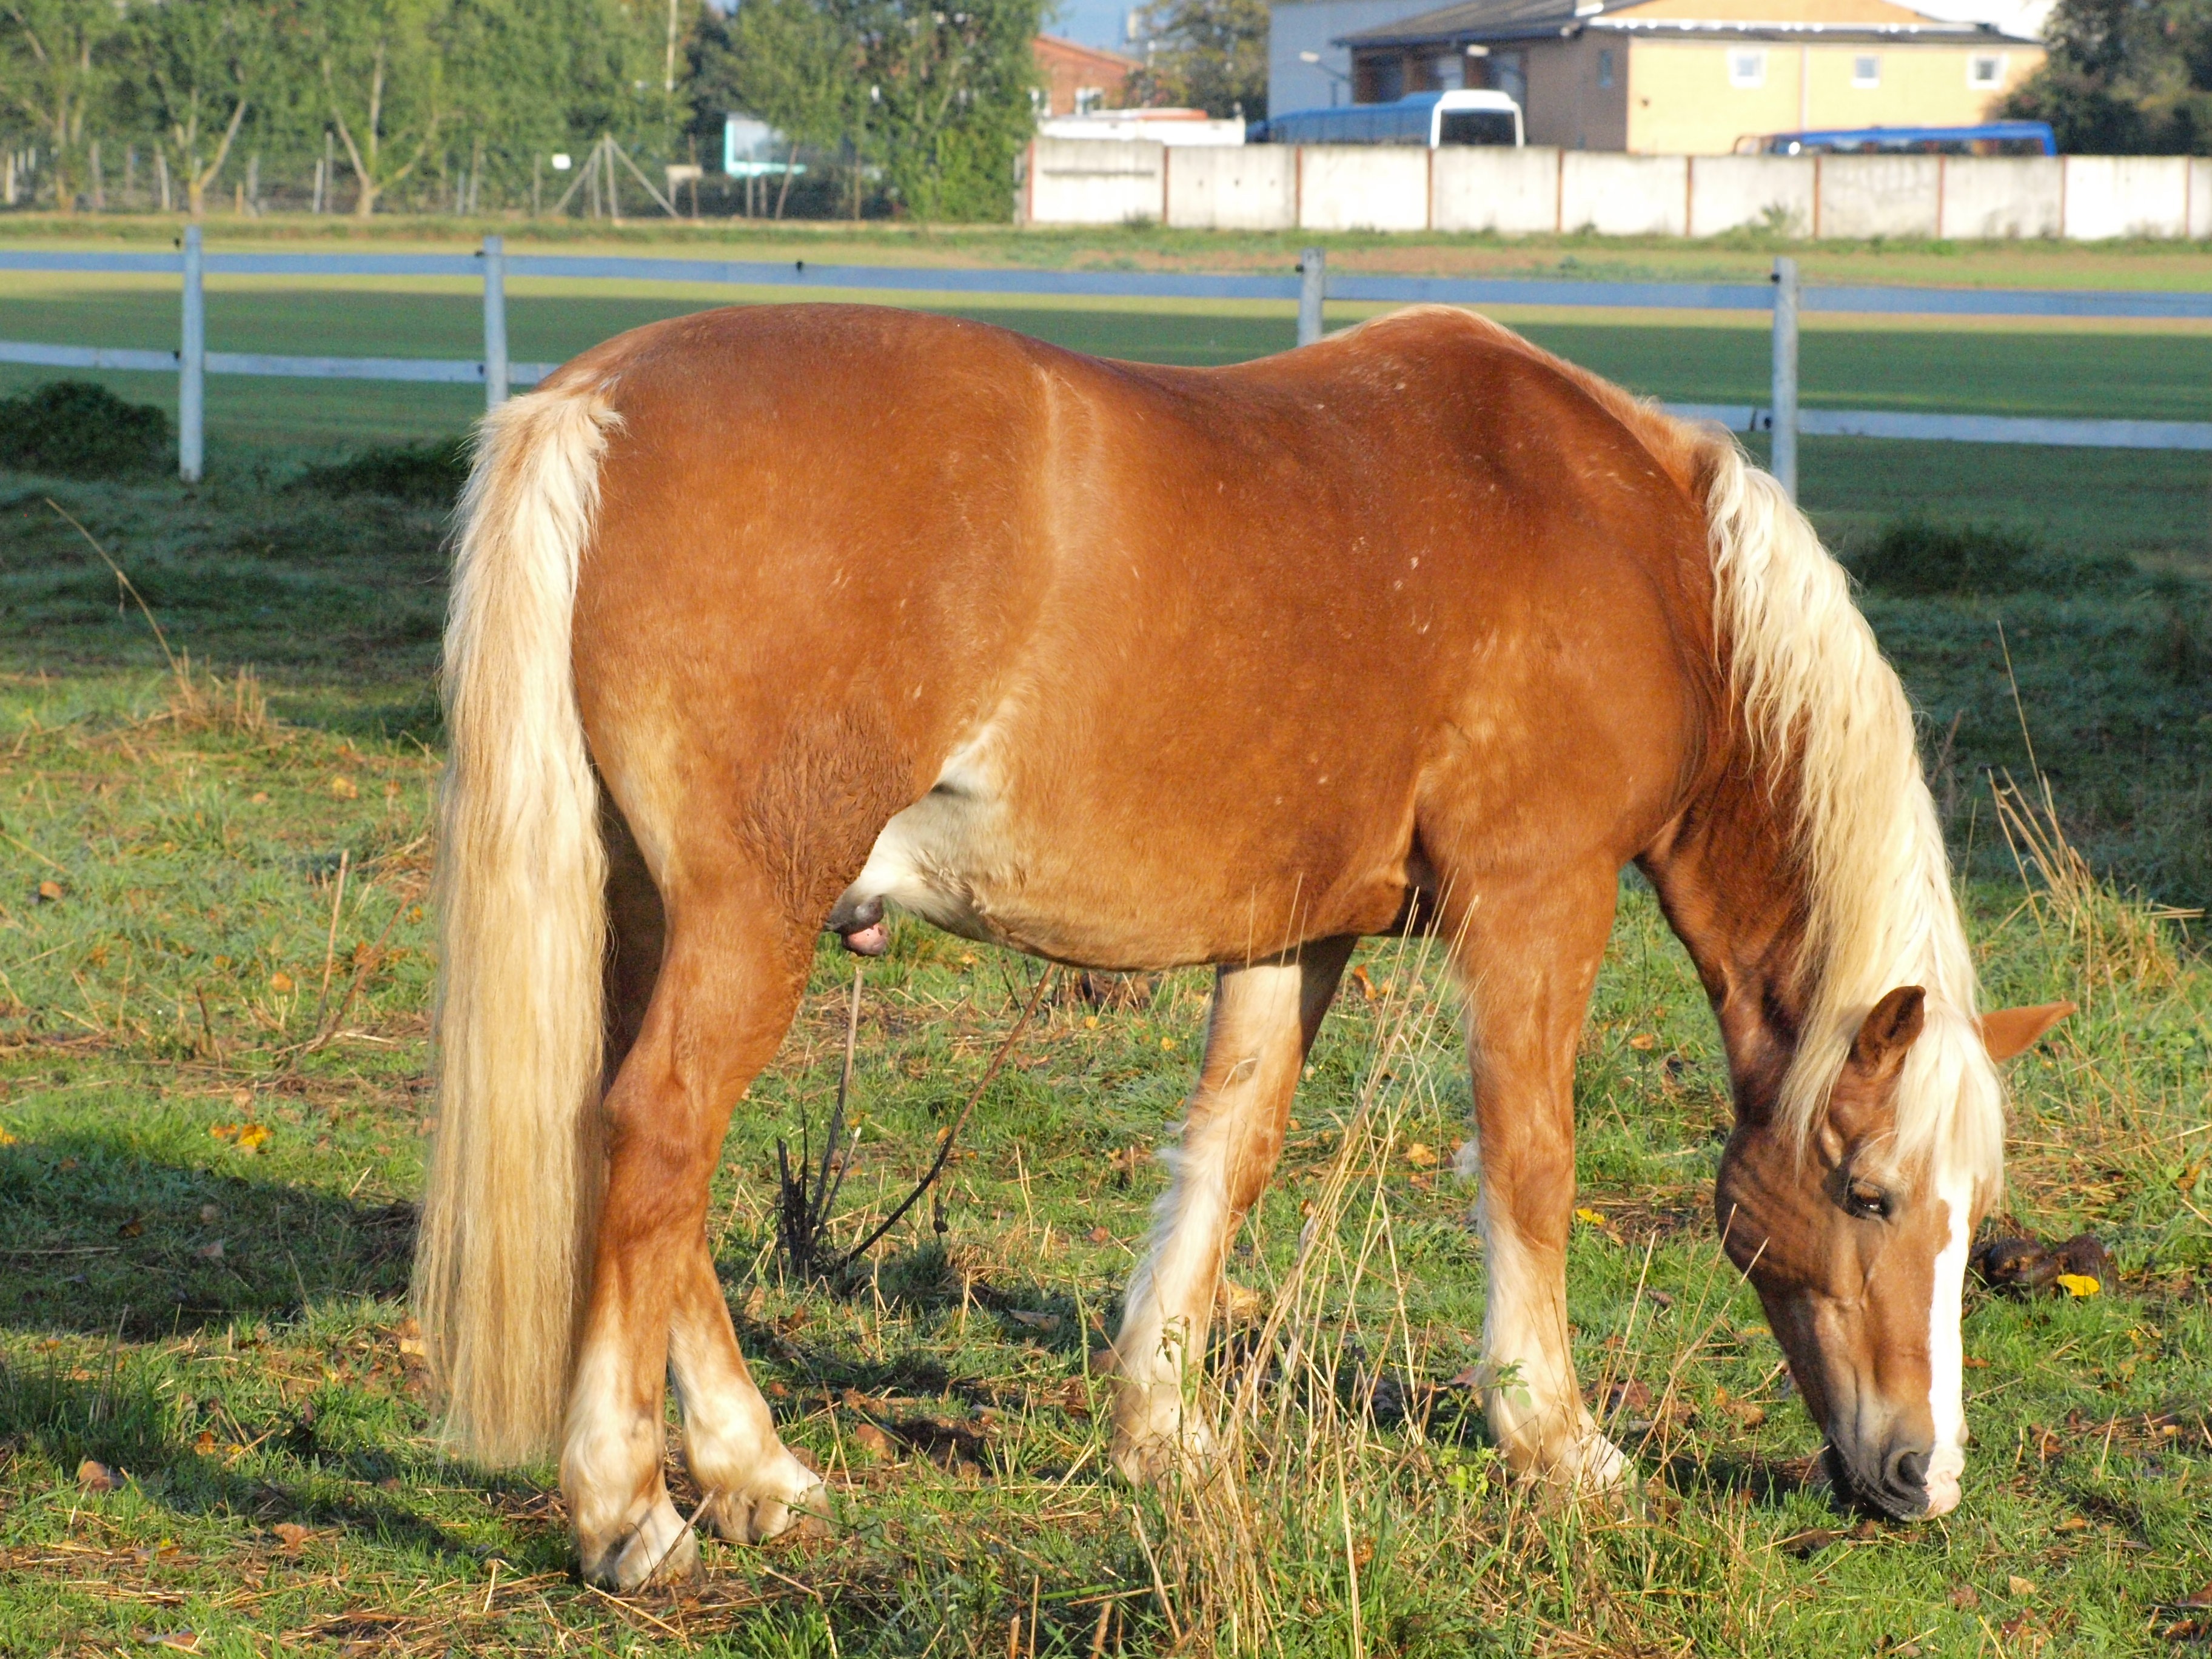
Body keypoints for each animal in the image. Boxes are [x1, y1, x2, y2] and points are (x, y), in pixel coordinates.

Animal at [415, 305, 2070, 1592]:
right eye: (1868, 1193)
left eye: (1971, 1216)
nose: (1922, 1474)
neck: (1629, 541)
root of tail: (600, 400)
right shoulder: (1538, 902)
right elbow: (1528, 1162)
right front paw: (1556, 1440)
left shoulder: (1296, 931)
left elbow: (1231, 1149)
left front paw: (1159, 1426)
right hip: (751, 911)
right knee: (658, 1136)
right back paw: (629, 1507)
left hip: (656, 913)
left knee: (643, 1163)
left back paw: (755, 1468)